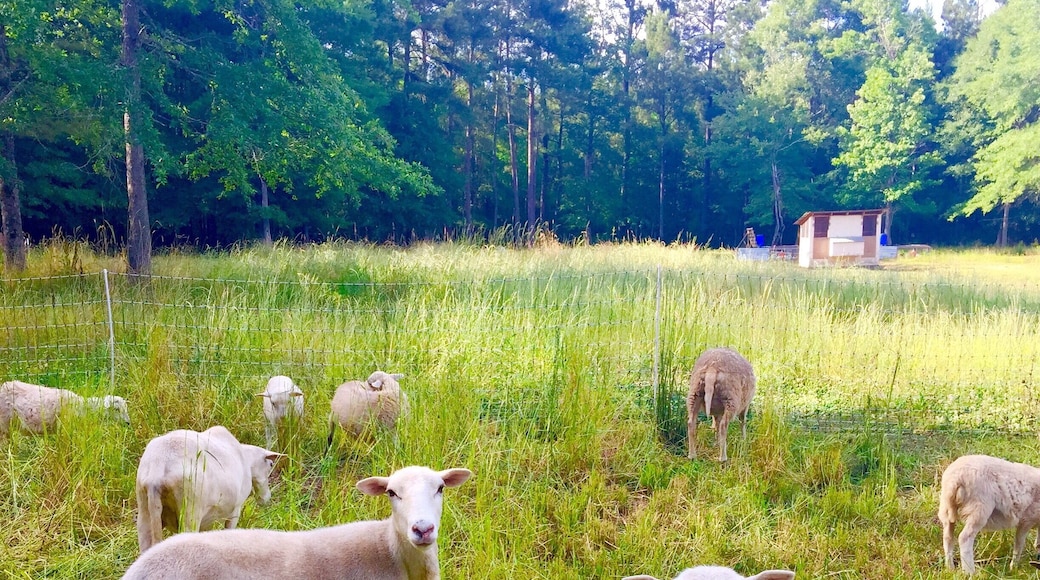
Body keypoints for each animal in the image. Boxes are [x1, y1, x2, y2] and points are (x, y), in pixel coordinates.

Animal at [135, 425, 283, 554]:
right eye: (270, 464)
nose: (267, 499)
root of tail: (158, 469)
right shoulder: (235, 510)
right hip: (190, 512)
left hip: (144, 512)